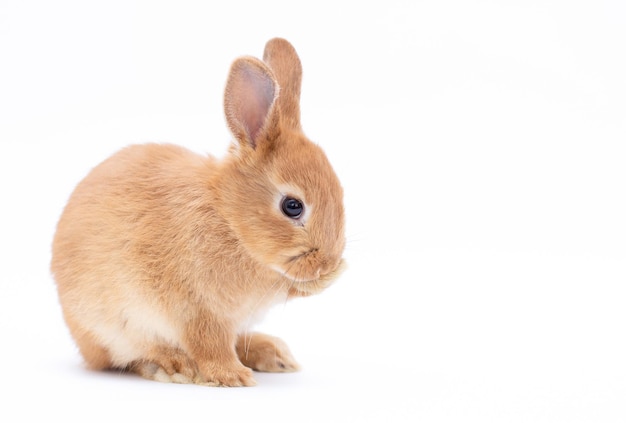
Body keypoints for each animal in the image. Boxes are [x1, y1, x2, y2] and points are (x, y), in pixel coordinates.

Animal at [51, 39, 346, 388]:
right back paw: (175, 365)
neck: (231, 221)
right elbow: (210, 346)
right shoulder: (198, 311)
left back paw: (274, 355)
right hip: (111, 329)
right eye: (292, 206)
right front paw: (233, 377)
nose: (328, 262)